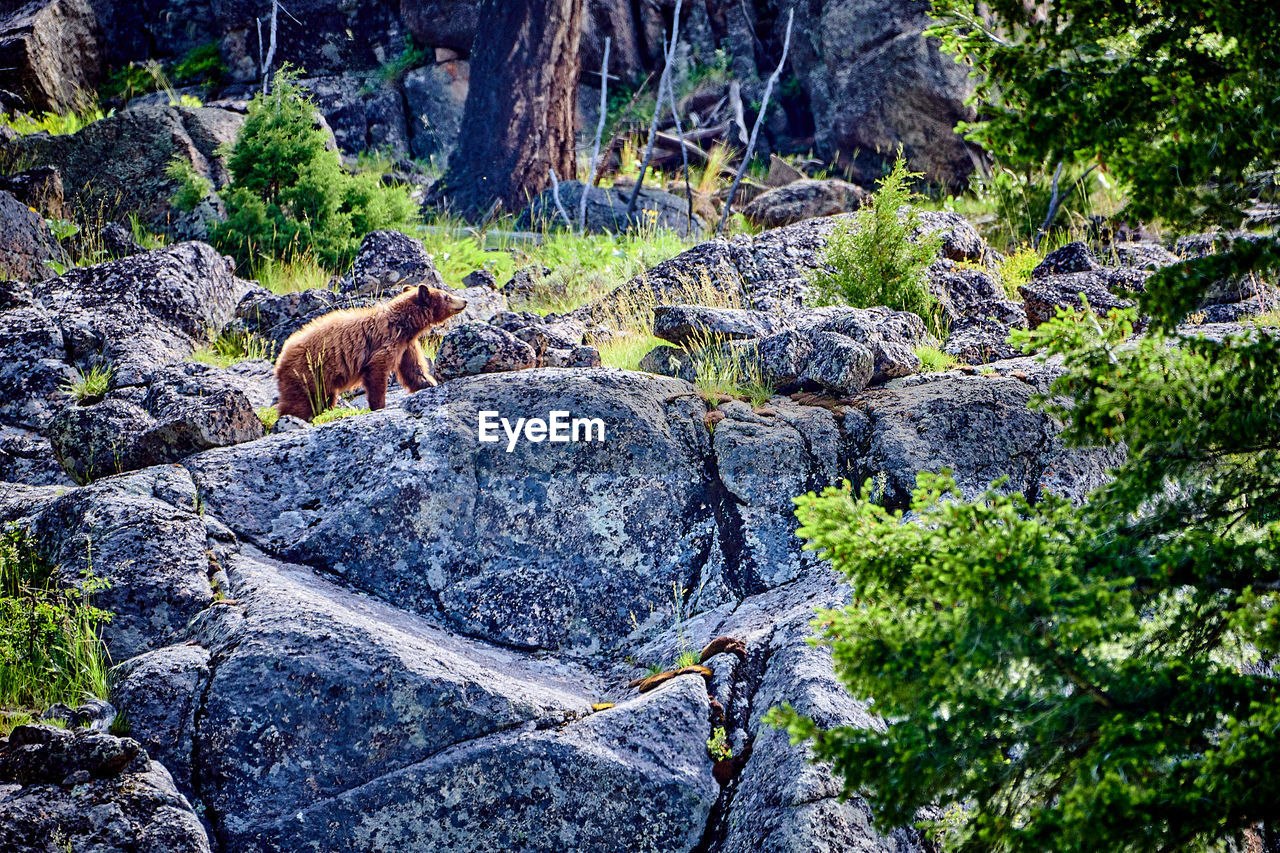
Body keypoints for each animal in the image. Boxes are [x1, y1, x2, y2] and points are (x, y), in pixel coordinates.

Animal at [272, 284, 468, 420]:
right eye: (446, 296)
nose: (464, 300)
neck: (405, 324)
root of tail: (280, 360)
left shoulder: (406, 345)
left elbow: (413, 370)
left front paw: (429, 383)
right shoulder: (386, 341)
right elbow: (377, 371)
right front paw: (379, 406)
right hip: (307, 373)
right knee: (300, 403)